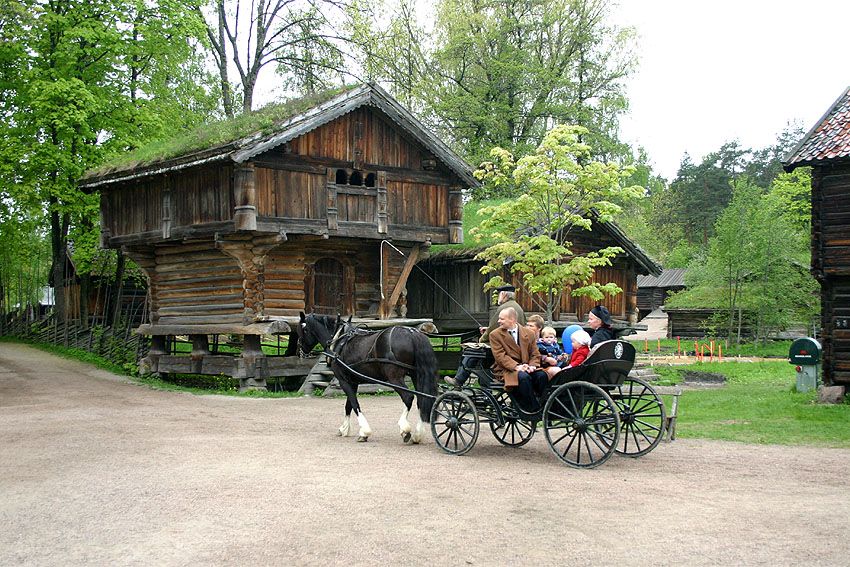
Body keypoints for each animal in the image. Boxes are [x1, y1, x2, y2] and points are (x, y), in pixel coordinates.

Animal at [296, 312, 438, 446]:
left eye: (302, 329)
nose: (300, 350)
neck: (339, 339)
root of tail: (413, 333)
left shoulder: (343, 380)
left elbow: (354, 404)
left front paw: (364, 432)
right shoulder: (353, 382)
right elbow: (348, 405)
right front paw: (344, 429)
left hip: (395, 378)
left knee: (408, 397)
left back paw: (405, 429)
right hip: (416, 375)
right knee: (421, 399)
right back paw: (417, 435)